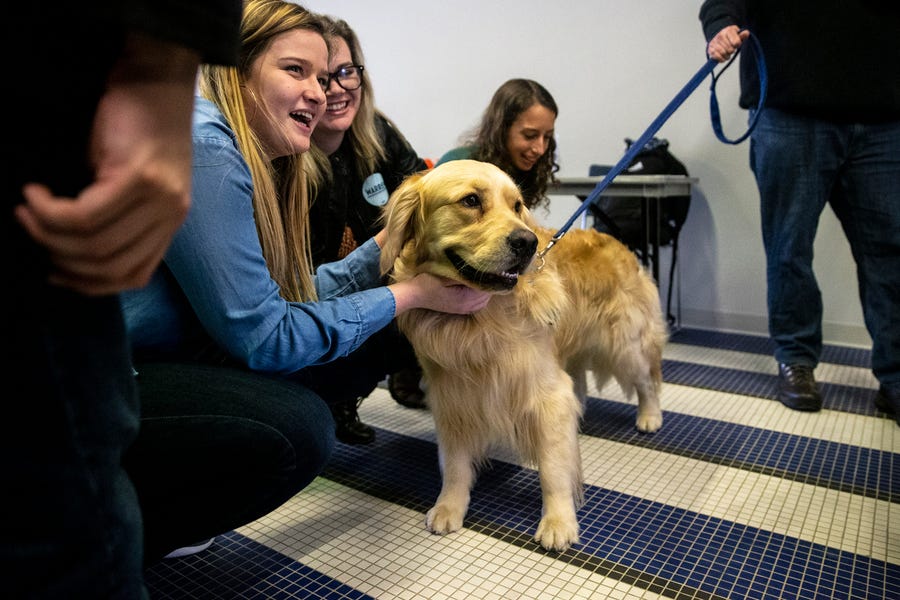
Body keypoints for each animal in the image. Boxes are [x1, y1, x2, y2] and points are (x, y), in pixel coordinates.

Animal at [376, 161, 664, 552]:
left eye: (516, 206)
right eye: (470, 201)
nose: (528, 243)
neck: (479, 323)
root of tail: (617, 241)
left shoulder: (546, 393)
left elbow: (554, 469)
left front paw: (558, 521)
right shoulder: (451, 397)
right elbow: (454, 462)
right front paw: (449, 505)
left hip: (624, 344)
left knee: (647, 380)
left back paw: (650, 416)